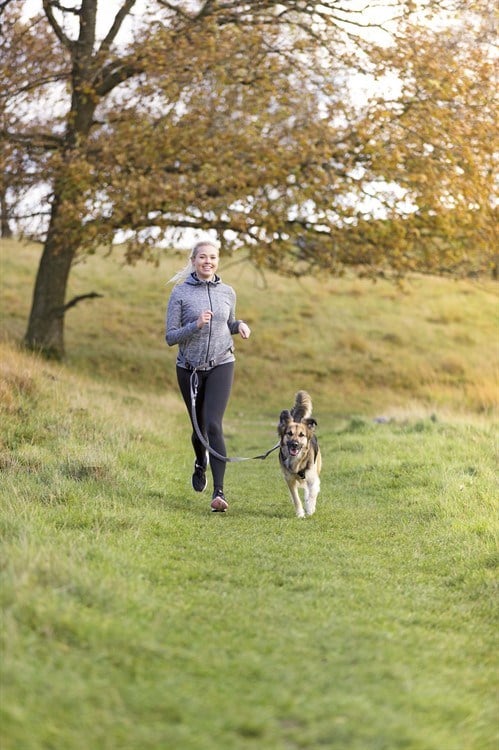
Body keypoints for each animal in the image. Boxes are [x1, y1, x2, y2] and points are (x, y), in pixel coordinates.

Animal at [278, 390, 324, 520]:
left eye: (301, 435)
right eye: (289, 433)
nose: (294, 444)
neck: (297, 460)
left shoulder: (313, 477)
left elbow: (312, 493)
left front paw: (310, 508)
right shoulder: (289, 479)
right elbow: (296, 499)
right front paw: (300, 513)